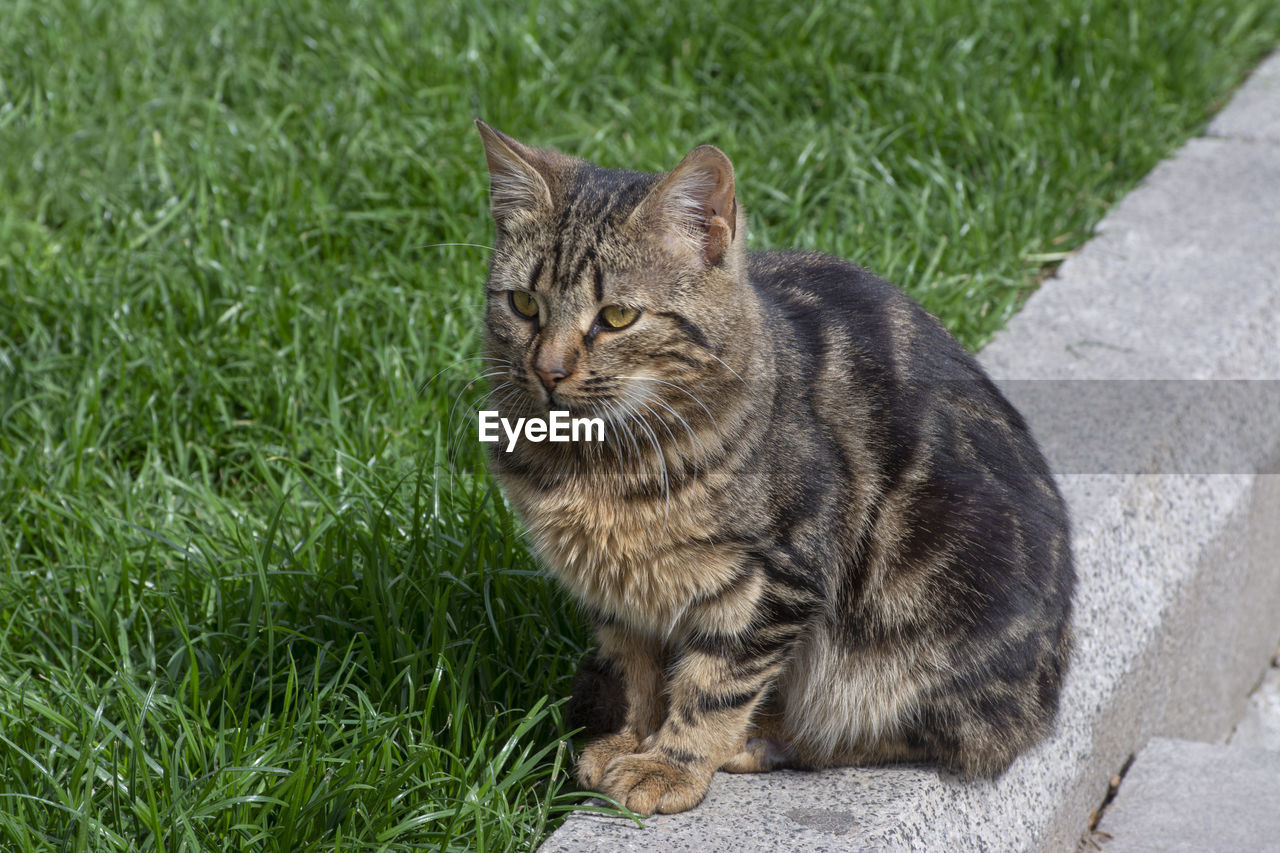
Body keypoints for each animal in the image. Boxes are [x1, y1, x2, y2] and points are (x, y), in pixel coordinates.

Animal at [471, 117, 1070, 809]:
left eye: (617, 316)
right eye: (524, 304)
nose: (548, 370)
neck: (596, 459)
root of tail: (1045, 701)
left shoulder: (775, 576)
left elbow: (713, 685)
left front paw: (669, 765)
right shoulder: (617, 595)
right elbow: (633, 669)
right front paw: (624, 739)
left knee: (923, 735)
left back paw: (769, 737)